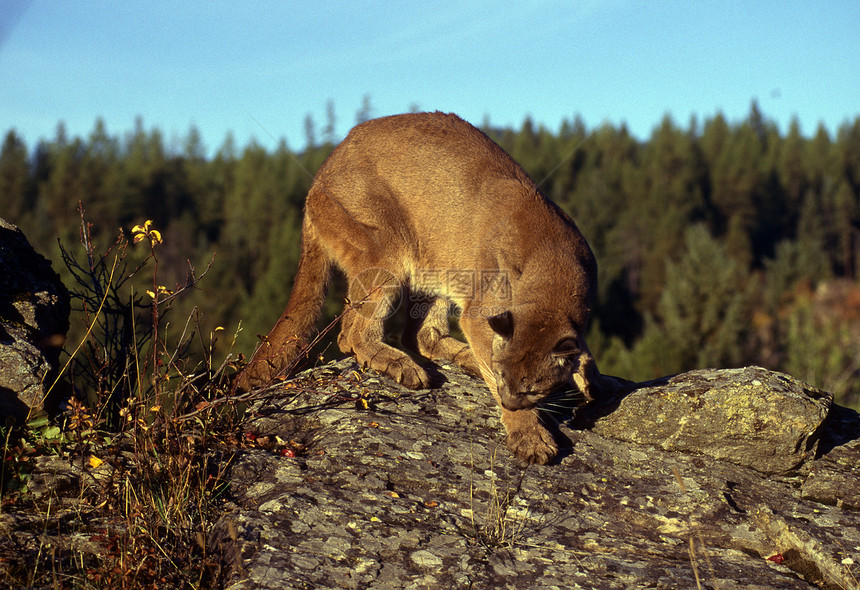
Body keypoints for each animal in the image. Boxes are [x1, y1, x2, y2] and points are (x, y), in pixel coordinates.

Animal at [235, 110, 608, 462]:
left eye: (533, 389)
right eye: (505, 377)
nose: (509, 401)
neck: (553, 266)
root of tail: (323, 169)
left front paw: (591, 381)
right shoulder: (480, 312)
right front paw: (529, 434)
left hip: (436, 264)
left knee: (414, 335)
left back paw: (463, 358)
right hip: (386, 249)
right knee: (352, 334)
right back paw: (403, 365)